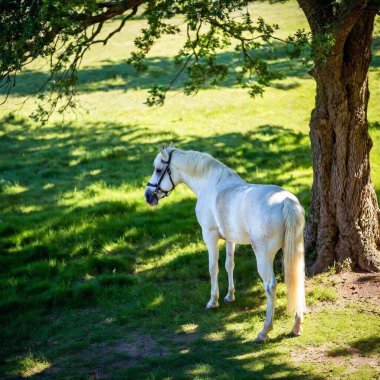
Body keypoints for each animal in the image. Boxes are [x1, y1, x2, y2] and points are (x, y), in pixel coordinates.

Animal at [145, 145, 306, 342]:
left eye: (158, 170)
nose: (148, 196)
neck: (210, 184)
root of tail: (286, 201)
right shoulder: (230, 239)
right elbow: (230, 265)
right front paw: (230, 296)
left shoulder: (210, 236)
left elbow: (213, 268)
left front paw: (213, 301)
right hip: (295, 251)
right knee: (298, 278)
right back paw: (297, 326)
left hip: (263, 256)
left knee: (270, 286)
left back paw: (264, 331)